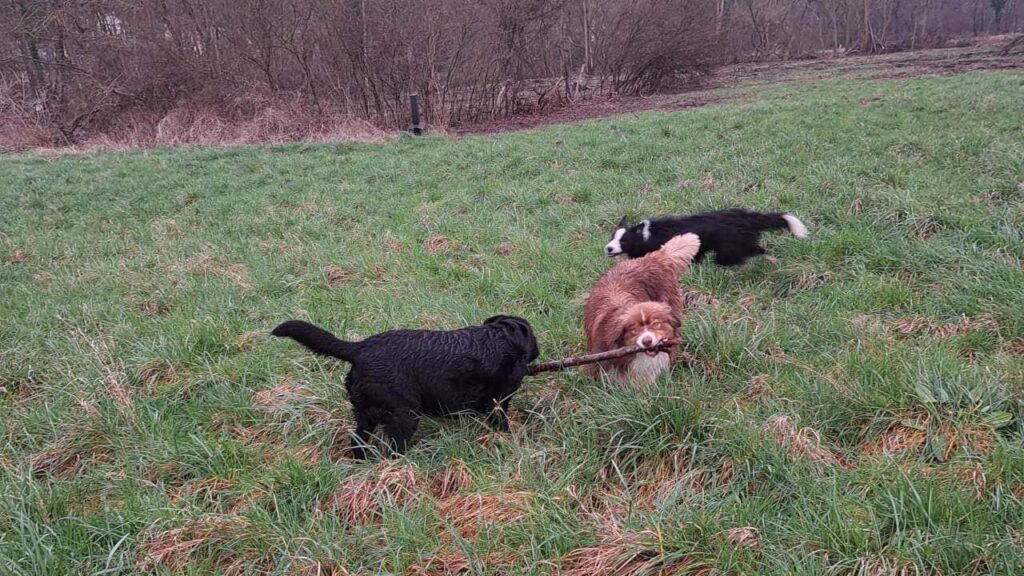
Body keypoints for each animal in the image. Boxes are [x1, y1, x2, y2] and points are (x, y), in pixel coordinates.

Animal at [272, 313, 544, 457]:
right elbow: (503, 423)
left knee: (357, 442)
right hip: (405, 415)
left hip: (366, 416)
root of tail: (359, 349)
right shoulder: (498, 403)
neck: (501, 337)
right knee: (393, 450)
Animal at [598, 210, 806, 266]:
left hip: (729, 249)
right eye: (612, 237)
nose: (608, 248)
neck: (646, 236)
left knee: (752, 252)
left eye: (623, 241)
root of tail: (745, 216)